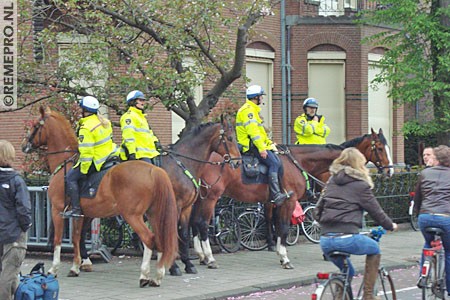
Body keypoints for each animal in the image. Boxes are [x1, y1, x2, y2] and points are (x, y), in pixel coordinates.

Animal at [22, 106, 178, 288]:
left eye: (35, 126)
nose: (24, 145)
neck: (64, 163)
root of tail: (153, 170)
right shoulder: (81, 214)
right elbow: (76, 238)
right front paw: (76, 267)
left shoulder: (57, 210)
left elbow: (58, 239)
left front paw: (54, 269)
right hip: (153, 214)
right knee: (159, 239)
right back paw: (158, 276)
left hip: (132, 215)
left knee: (148, 239)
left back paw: (144, 275)